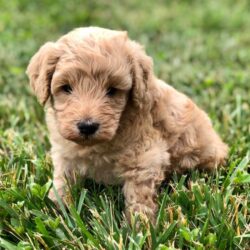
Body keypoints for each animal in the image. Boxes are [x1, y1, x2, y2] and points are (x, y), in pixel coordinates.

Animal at [26, 27, 228, 223]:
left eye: (112, 90)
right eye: (66, 88)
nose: (87, 126)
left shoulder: (145, 156)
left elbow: (139, 197)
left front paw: (139, 227)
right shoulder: (65, 153)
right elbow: (62, 180)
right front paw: (54, 208)